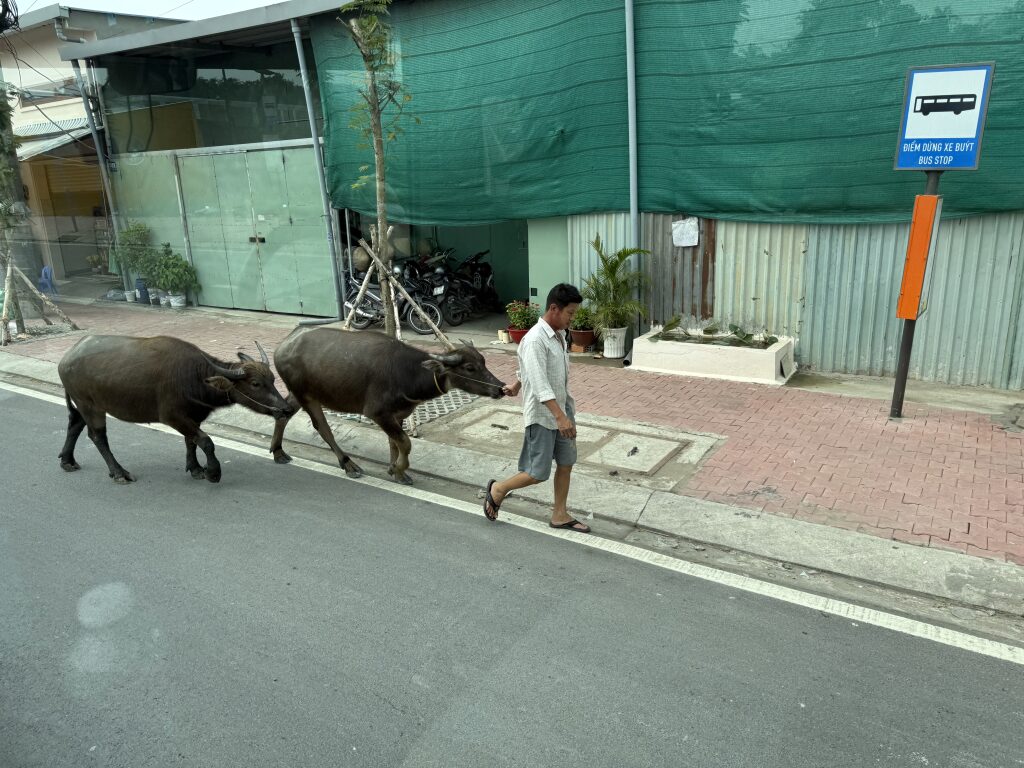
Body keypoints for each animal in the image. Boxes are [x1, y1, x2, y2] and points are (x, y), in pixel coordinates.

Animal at [58, 335, 294, 483]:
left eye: (273, 379)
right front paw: (213, 472)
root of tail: (66, 358)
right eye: (255, 383)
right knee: (97, 436)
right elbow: (206, 442)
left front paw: (196, 468)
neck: (195, 376)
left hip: (85, 405)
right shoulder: (173, 416)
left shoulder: (193, 417)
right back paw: (119, 473)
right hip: (90, 406)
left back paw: (67, 461)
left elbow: (192, 441)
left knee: (75, 424)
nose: (285, 409)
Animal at [270, 327, 505, 483]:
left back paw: (278, 452)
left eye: (484, 361)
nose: (500, 388)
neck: (408, 373)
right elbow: (406, 443)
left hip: (298, 394)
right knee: (323, 428)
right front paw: (398, 470)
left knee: (283, 414)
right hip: (306, 396)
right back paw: (348, 464)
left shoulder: (397, 414)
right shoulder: (377, 413)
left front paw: (396, 470)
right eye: (470, 367)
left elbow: (395, 443)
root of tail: (283, 345)